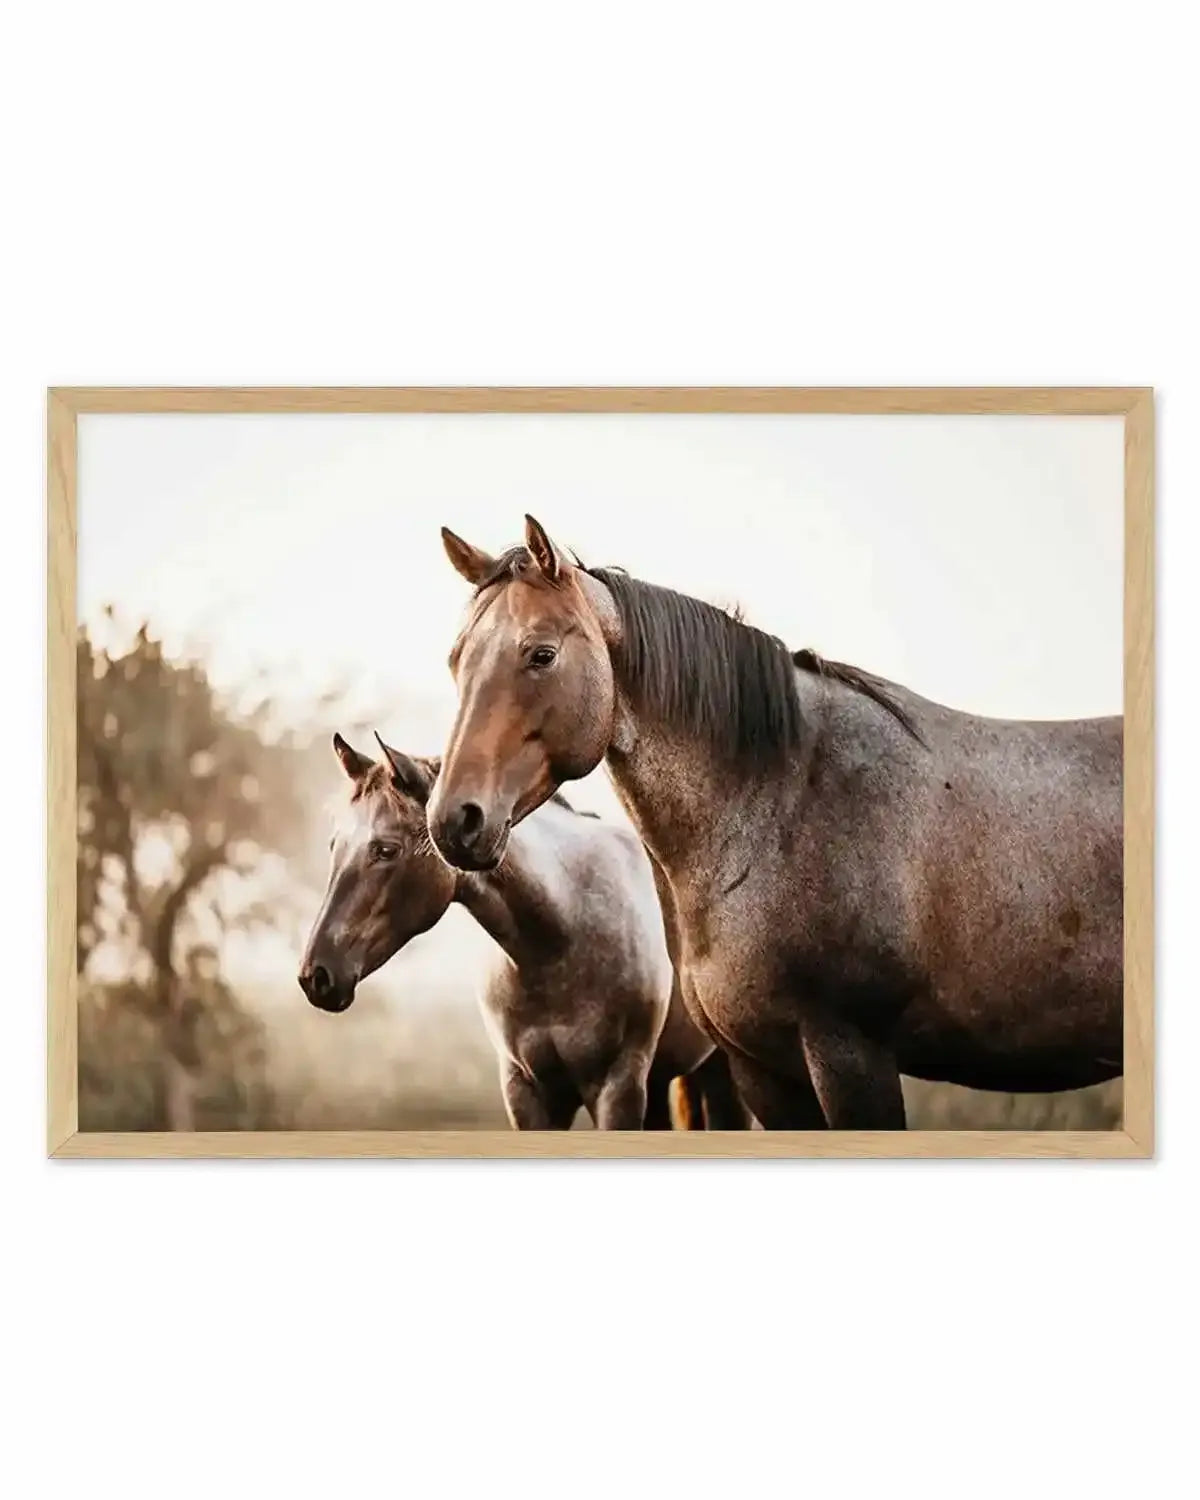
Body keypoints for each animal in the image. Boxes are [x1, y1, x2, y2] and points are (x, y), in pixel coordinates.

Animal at [297, 732, 750, 1129]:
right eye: (334, 845)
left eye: (386, 849)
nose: (315, 976)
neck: (560, 941)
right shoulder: (527, 1092)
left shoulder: (616, 1087)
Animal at [425, 514, 1123, 1129]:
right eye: (457, 661)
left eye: (541, 655)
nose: (454, 819)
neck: (781, 804)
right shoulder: (762, 1067)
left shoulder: (852, 1054)